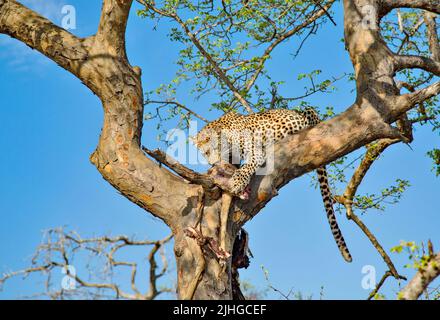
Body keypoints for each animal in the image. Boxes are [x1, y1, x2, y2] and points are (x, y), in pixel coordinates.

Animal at [191, 107, 352, 262]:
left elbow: (246, 167)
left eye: (212, 149)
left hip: (306, 112)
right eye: (204, 153)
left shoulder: (254, 152)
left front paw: (237, 182)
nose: (213, 163)